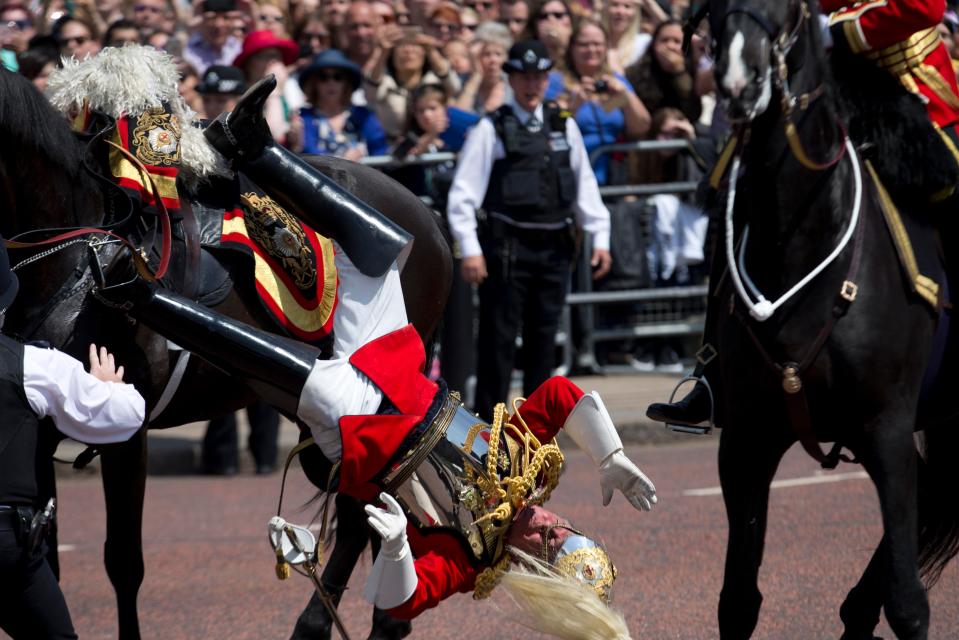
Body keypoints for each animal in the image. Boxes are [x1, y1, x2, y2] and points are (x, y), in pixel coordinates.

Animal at [0, 66, 454, 640]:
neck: (71, 251)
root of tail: (428, 218)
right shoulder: (38, 429)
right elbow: (45, 559)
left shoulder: (125, 428)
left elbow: (123, 559)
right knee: (369, 507)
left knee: (362, 509)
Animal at [700, 1, 959, 640]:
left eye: (785, 9)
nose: (738, 85)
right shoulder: (746, 441)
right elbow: (738, 600)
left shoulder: (887, 430)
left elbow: (909, 603)